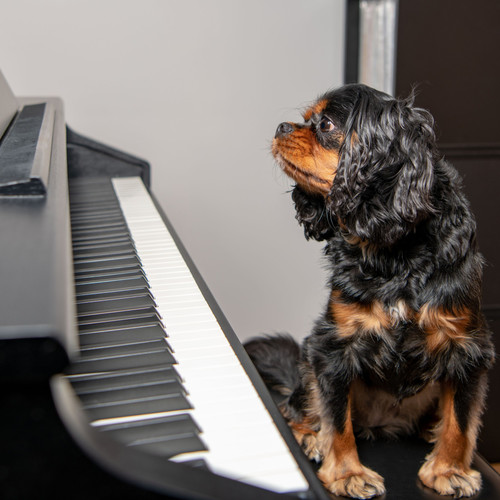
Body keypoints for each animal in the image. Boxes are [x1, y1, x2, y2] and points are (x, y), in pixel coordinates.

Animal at [244, 84, 494, 498]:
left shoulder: (467, 347)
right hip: (309, 358)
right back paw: (309, 435)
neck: (394, 252)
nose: (281, 126)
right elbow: (338, 421)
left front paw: (448, 470)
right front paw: (348, 474)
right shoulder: (332, 347)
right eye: (307, 118)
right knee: (295, 409)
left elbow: (460, 420)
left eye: (326, 125)